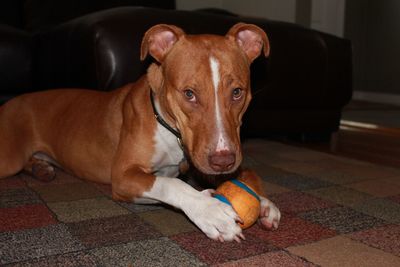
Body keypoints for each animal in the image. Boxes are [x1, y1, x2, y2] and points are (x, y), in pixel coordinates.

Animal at [0, 23, 280, 243]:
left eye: (237, 92)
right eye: (189, 93)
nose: (224, 161)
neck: (169, 127)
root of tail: (10, 103)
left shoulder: (204, 159)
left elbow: (239, 177)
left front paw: (264, 202)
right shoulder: (124, 176)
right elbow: (171, 183)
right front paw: (209, 210)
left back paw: (41, 169)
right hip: (9, 158)